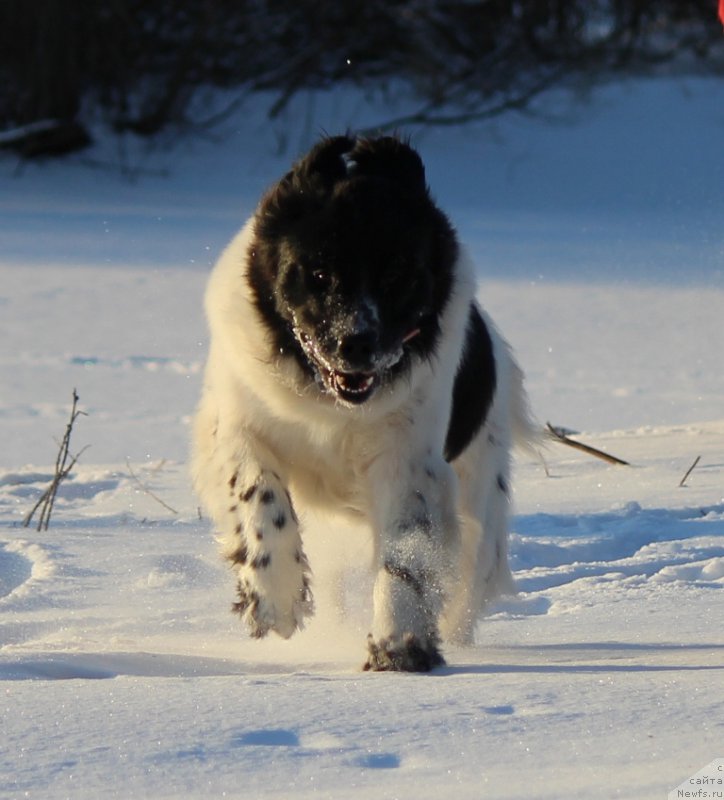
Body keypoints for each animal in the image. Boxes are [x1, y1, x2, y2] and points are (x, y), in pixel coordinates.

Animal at [192, 134, 532, 672]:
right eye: (318, 273)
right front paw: (276, 598)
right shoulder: (235, 427)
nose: (355, 343)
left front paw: (399, 646)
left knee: (469, 576)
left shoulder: (409, 462)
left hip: (480, 491)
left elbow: (407, 554)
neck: (330, 403)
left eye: (396, 275)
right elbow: (259, 494)